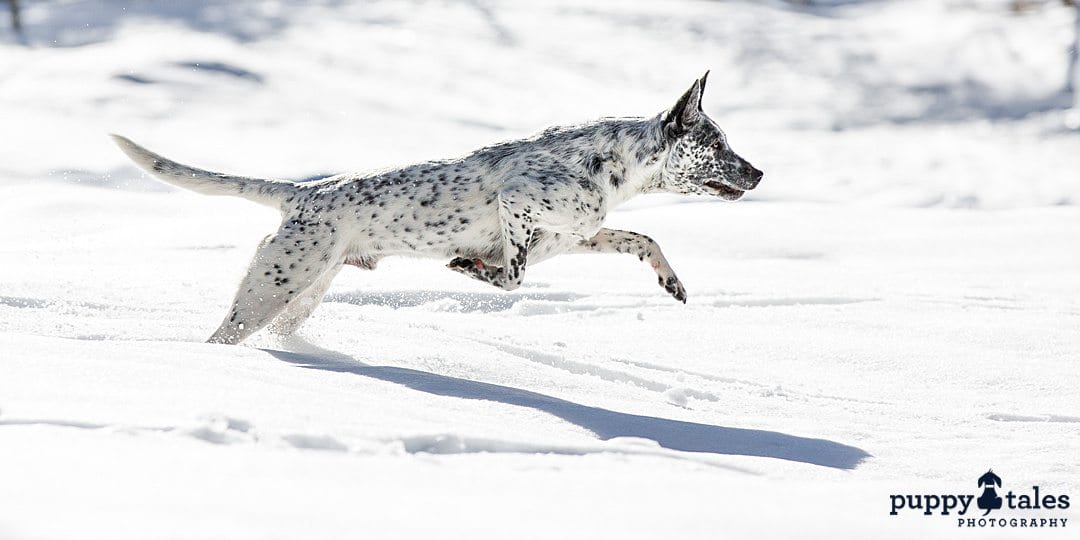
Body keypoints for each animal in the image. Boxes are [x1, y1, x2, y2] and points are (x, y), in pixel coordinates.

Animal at [113, 72, 764, 345]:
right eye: (717, 143)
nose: (759, 173)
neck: (612, 162)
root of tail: (305, 192)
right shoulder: (518, 202)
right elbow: (512, 271)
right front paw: (475, 268)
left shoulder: (577, 234)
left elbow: (642, 238)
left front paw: (671, 282)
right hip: (268, 290)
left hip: (301, 295)